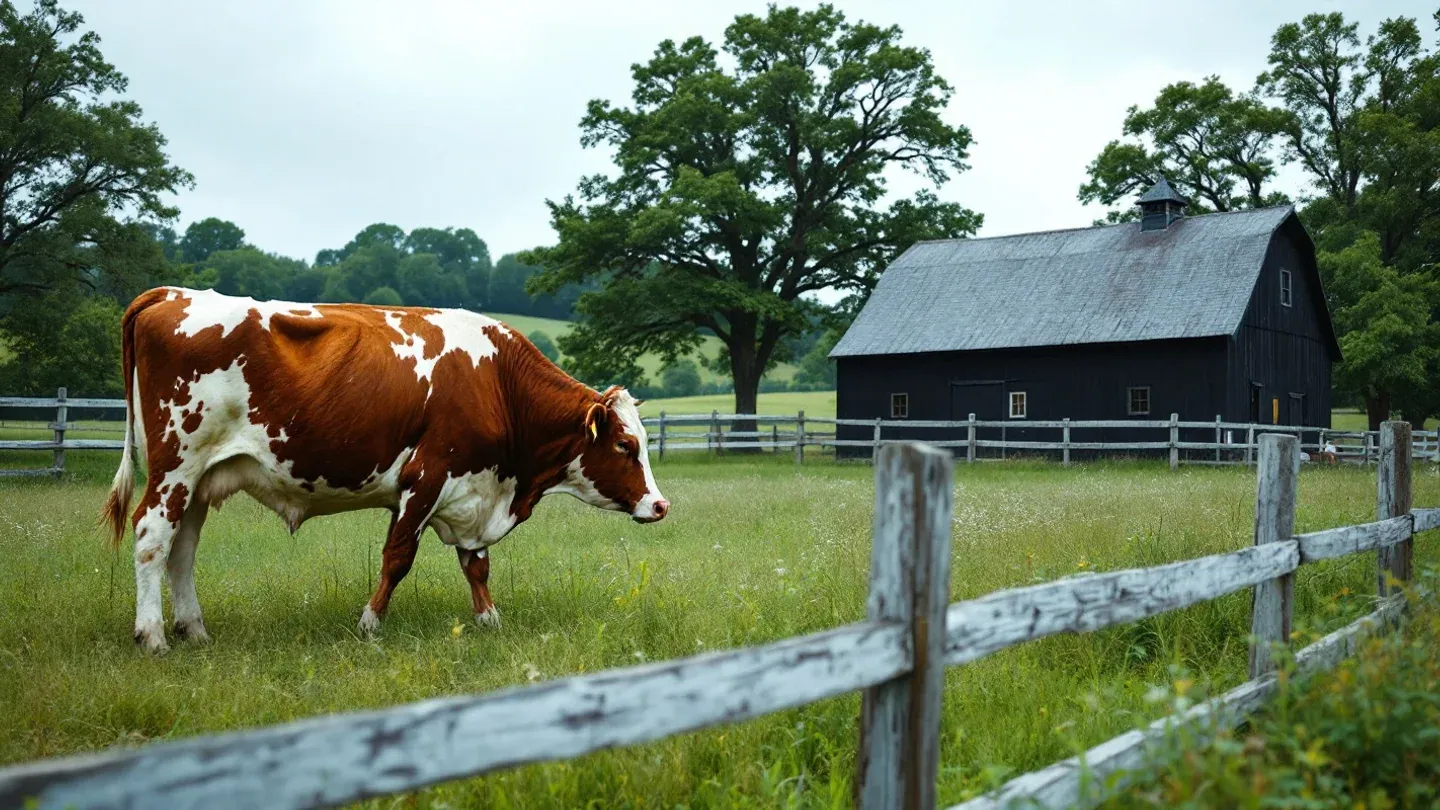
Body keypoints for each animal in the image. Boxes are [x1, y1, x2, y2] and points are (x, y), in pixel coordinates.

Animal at [101, 287, 668, 653]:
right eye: (625, 444)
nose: (660, 505)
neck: (498, 382)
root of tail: (171, 293)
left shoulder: (471, 489)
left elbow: (475, 564)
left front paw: (489, 620)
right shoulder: (428, 477)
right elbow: (398, 558)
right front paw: (370, 623)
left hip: (199, 480)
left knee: (182, 548)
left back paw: (193, 629)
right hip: (176, 467)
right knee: (152, 535)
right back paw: (152, 636)